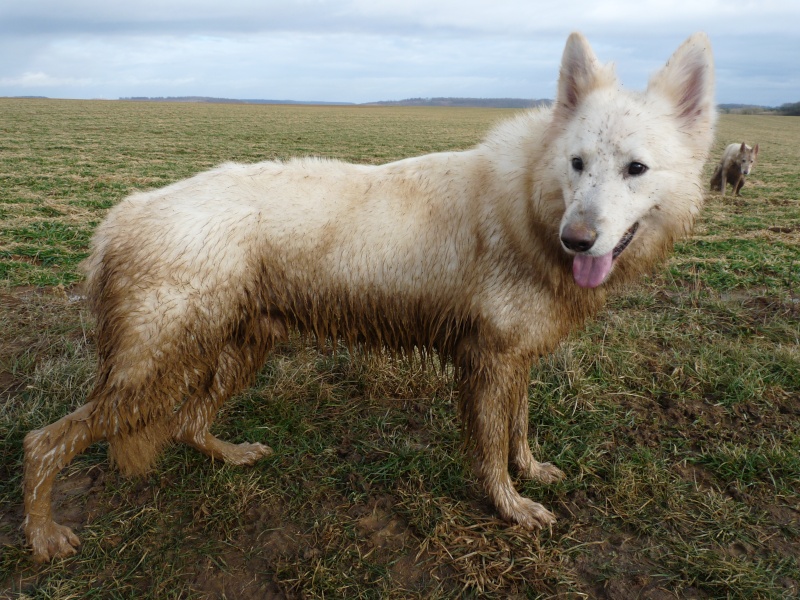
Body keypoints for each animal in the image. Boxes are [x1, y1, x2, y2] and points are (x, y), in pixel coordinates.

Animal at [21, 30, 716, 560]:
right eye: (576, 163)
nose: (579, 240)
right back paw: (44, 537)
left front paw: (531, 472)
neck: (530, 201)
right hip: (158, 367)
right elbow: (491, 448)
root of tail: (119, 218)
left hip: (240, 348)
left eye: (636, 168)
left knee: (189, 422)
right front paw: (512, 507)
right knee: (44, 441)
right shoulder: (488, 363)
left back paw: (232, 454)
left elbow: (519, 430)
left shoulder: (514, 359)